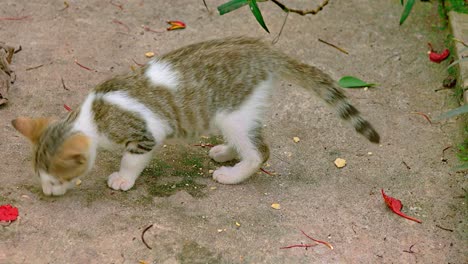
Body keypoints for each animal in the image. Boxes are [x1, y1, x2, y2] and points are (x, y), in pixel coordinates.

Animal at [11, 36, 378, 195]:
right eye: (42, 177)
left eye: (55, 178)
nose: (47, 193)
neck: (93, 116)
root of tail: (261, 48)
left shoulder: (144, 135)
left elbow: (131, 160)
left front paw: (123, 179)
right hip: (236, 111)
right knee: (250, 137)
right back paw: (226, 152)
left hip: (233, 112)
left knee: (260, 151)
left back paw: (233, 174)